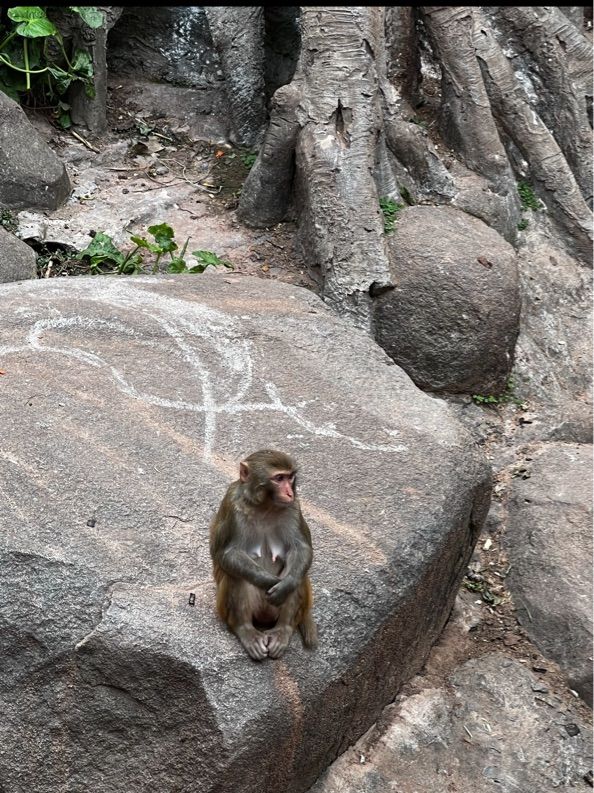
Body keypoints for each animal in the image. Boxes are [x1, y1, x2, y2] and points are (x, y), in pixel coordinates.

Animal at [209, 448, 316, 660]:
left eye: (290, 477)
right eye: (279, 478)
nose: (289, 492)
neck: (265, 505)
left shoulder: (294, 507)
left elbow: (301, 549)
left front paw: (285, 585)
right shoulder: (232, 505)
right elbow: (228, 554)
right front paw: (269, 582)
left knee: (299, 574)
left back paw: (283, 630)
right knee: (236, 575)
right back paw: (245, 630)